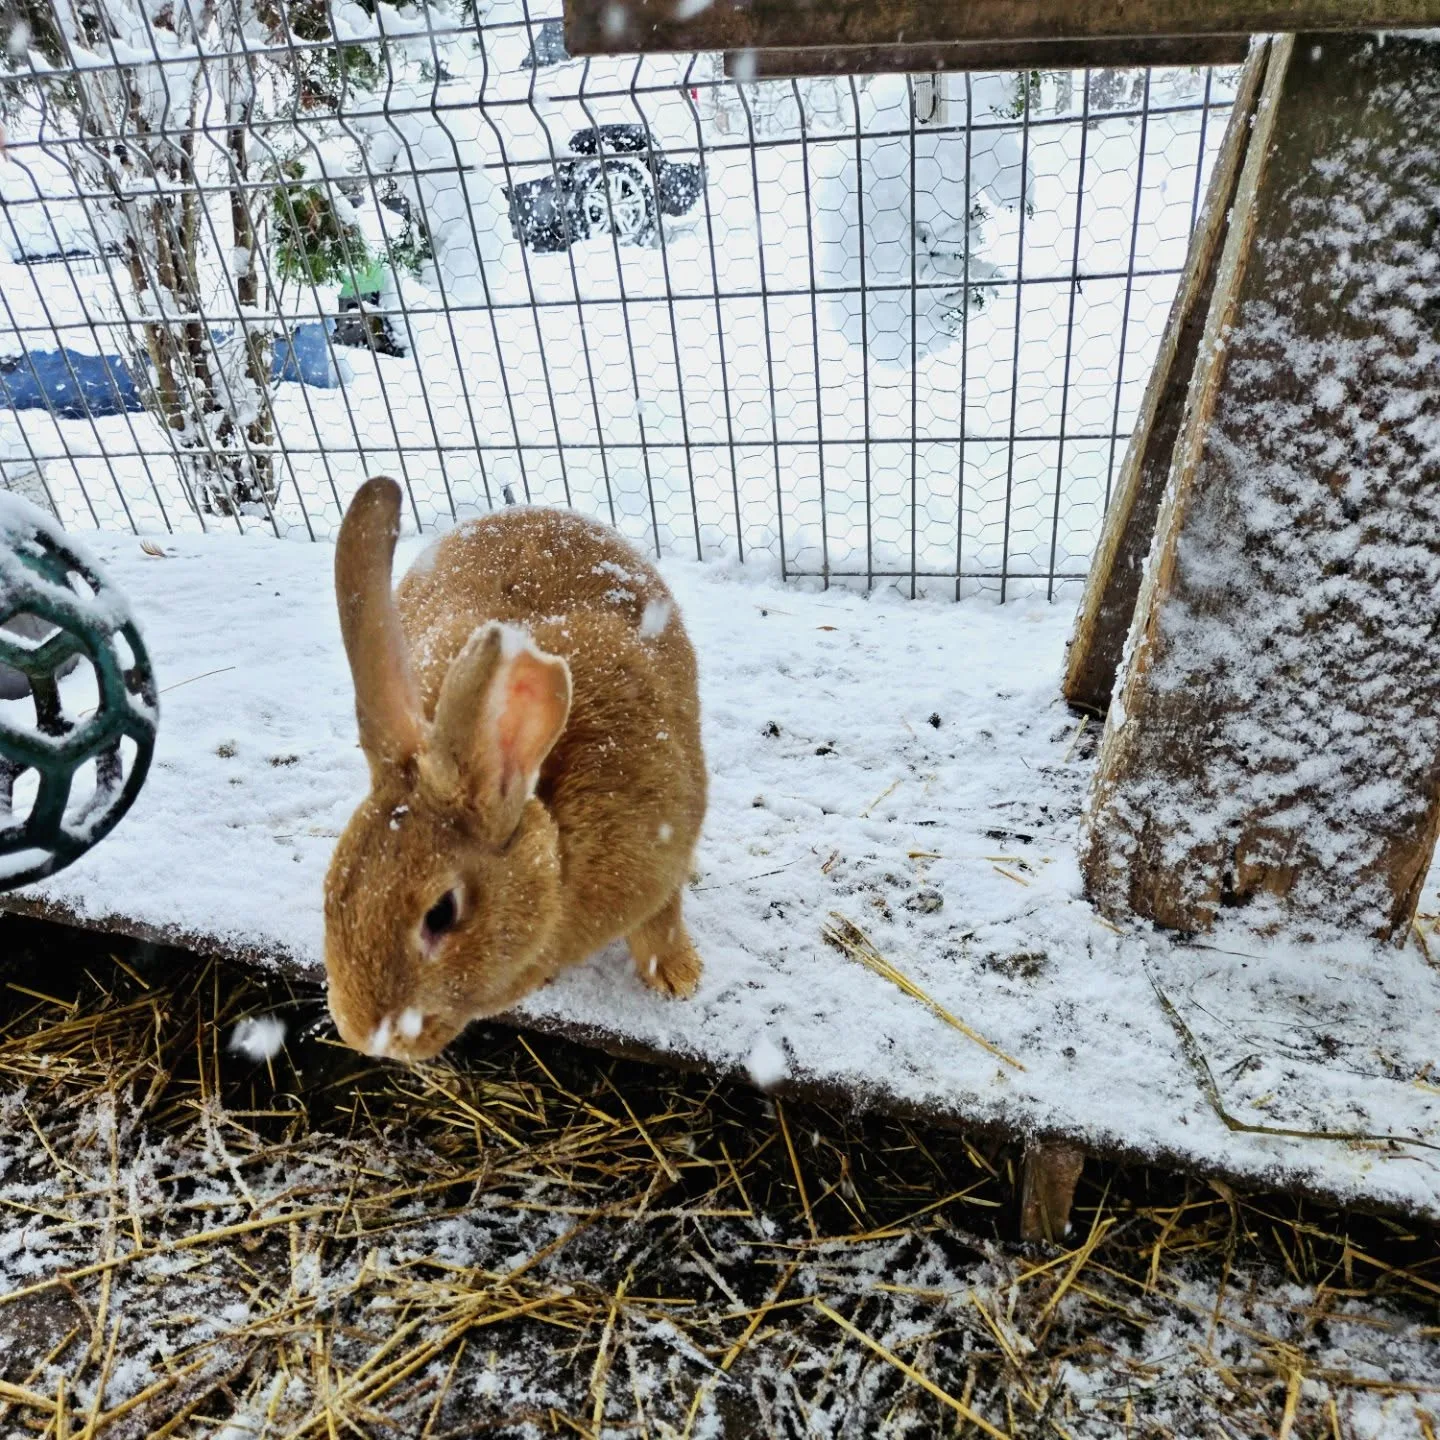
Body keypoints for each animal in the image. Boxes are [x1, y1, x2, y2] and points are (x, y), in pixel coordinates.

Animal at [324, 476, 707, 1061]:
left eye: (441, 913)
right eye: (332, 890)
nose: (364, 1035)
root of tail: (524, 508)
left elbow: (659, 924)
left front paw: (679, 979)